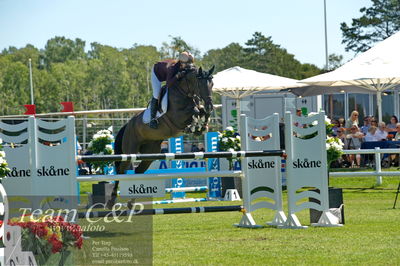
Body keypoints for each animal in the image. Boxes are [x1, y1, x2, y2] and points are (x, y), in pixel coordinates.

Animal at [106, 65, 212, 207]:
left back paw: (131, 202)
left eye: (212, 83)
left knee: (138, 171)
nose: (210, 106)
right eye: (201, 84)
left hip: (149, 154)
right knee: (121, 172)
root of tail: (128, 125)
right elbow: (194, 111)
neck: (184, 92)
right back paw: (111, 201)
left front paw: (201, 127)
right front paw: (194, 126)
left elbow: (200, 110)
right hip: (129, 152)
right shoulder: (177, 118)